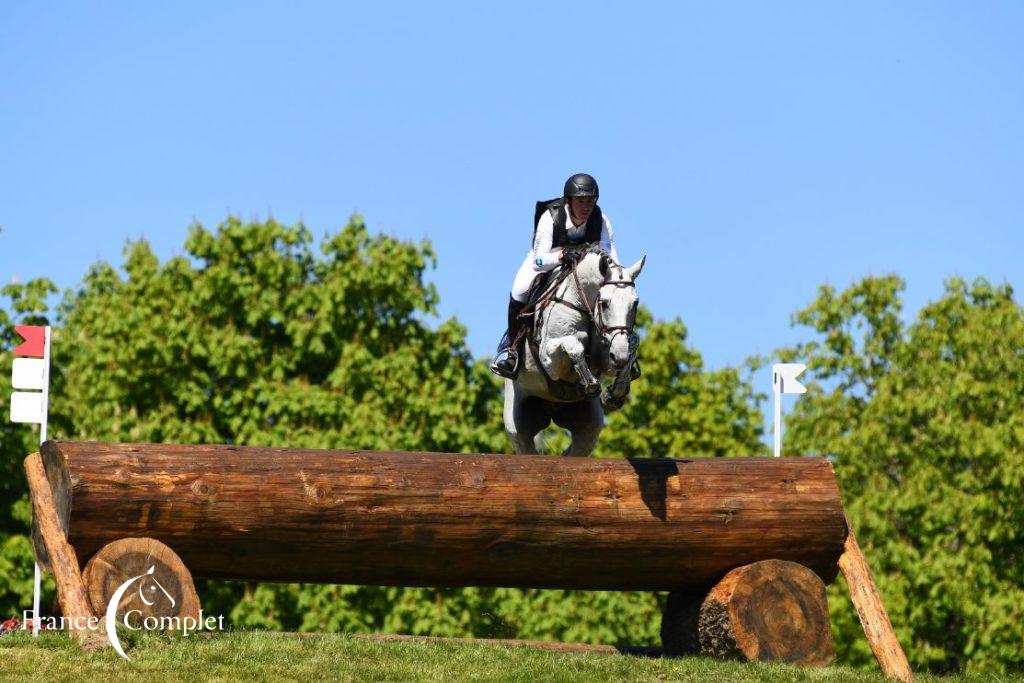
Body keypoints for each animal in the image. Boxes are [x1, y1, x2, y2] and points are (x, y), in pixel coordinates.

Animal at [499, 248, 643, 456]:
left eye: (635, 303)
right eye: (605, 303)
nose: (619, 356)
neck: (581, 301)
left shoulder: (610, 352)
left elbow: (633, 343)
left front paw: (616, 392)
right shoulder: (549, 360)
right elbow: (573, 344)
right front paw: (591, 385)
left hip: (588, 428)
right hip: (517, 425)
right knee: (525, 445)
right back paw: (509, 363)